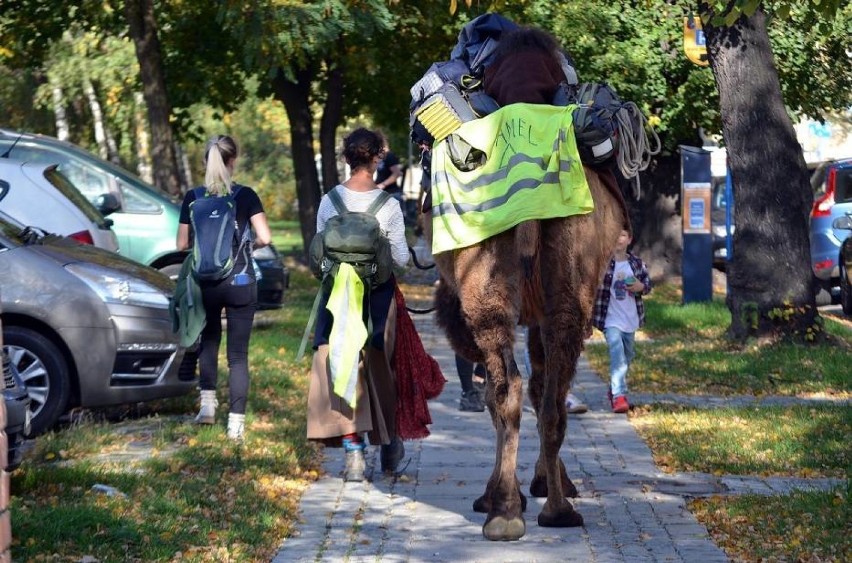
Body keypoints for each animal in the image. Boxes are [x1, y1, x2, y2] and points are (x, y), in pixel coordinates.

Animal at [426, 169, 624, 540]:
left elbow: (508, 392)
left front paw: (515, 489)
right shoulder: (538, 316)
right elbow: (536, 387)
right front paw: (542, 482)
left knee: (513, 389)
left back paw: (508, 511)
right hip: (563, 291)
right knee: (541, 397)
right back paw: (547, 510)